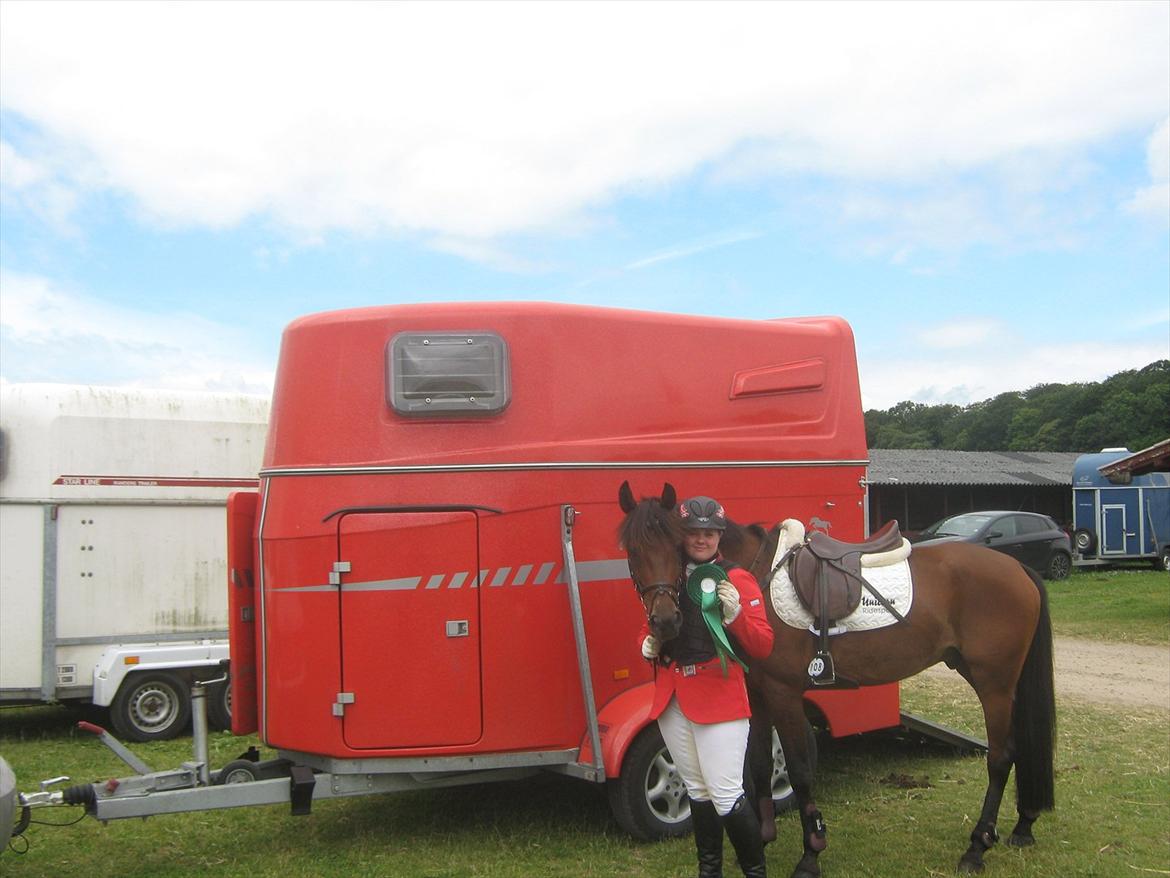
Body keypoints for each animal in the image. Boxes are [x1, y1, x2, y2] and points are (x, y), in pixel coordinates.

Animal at [618, 481, 1055, 878]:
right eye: (632, 550)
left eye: (675, 543)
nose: (664, 621)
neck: (753, 577)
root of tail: (1016, 567)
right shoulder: (758, 695)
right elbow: (758, 766)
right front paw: (761, 840)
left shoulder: (784, 693)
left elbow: (798, 770)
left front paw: (810, 854)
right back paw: (1023, 825)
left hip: (993, 684)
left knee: (1000, 757)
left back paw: (977, 847)